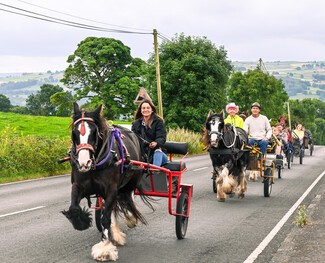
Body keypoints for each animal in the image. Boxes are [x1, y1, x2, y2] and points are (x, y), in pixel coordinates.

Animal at [61, 103, 152, 262]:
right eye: (74, 132)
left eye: (94, 132)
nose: (84, 163)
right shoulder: (78, 186)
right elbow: (74, 208)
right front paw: (82, 222)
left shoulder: (111, 189)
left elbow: (105, 219)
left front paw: (104, 249)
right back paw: (115, 232)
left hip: (131, 179)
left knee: (128, 197)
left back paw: (130, 218)